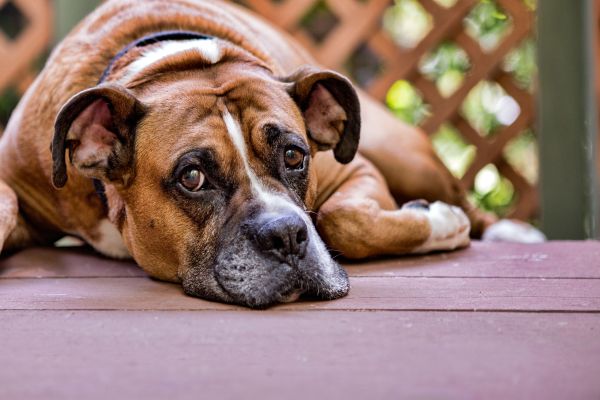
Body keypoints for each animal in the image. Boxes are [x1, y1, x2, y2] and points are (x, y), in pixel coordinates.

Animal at [0, 0, 544, 308]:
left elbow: (346, 219)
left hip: (399, 153)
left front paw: (440, 224)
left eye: (295, 156)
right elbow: (5, 205)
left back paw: (505, 230)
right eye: (192, 176)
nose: (286, 235)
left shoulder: (357, 170)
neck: (178, 63)